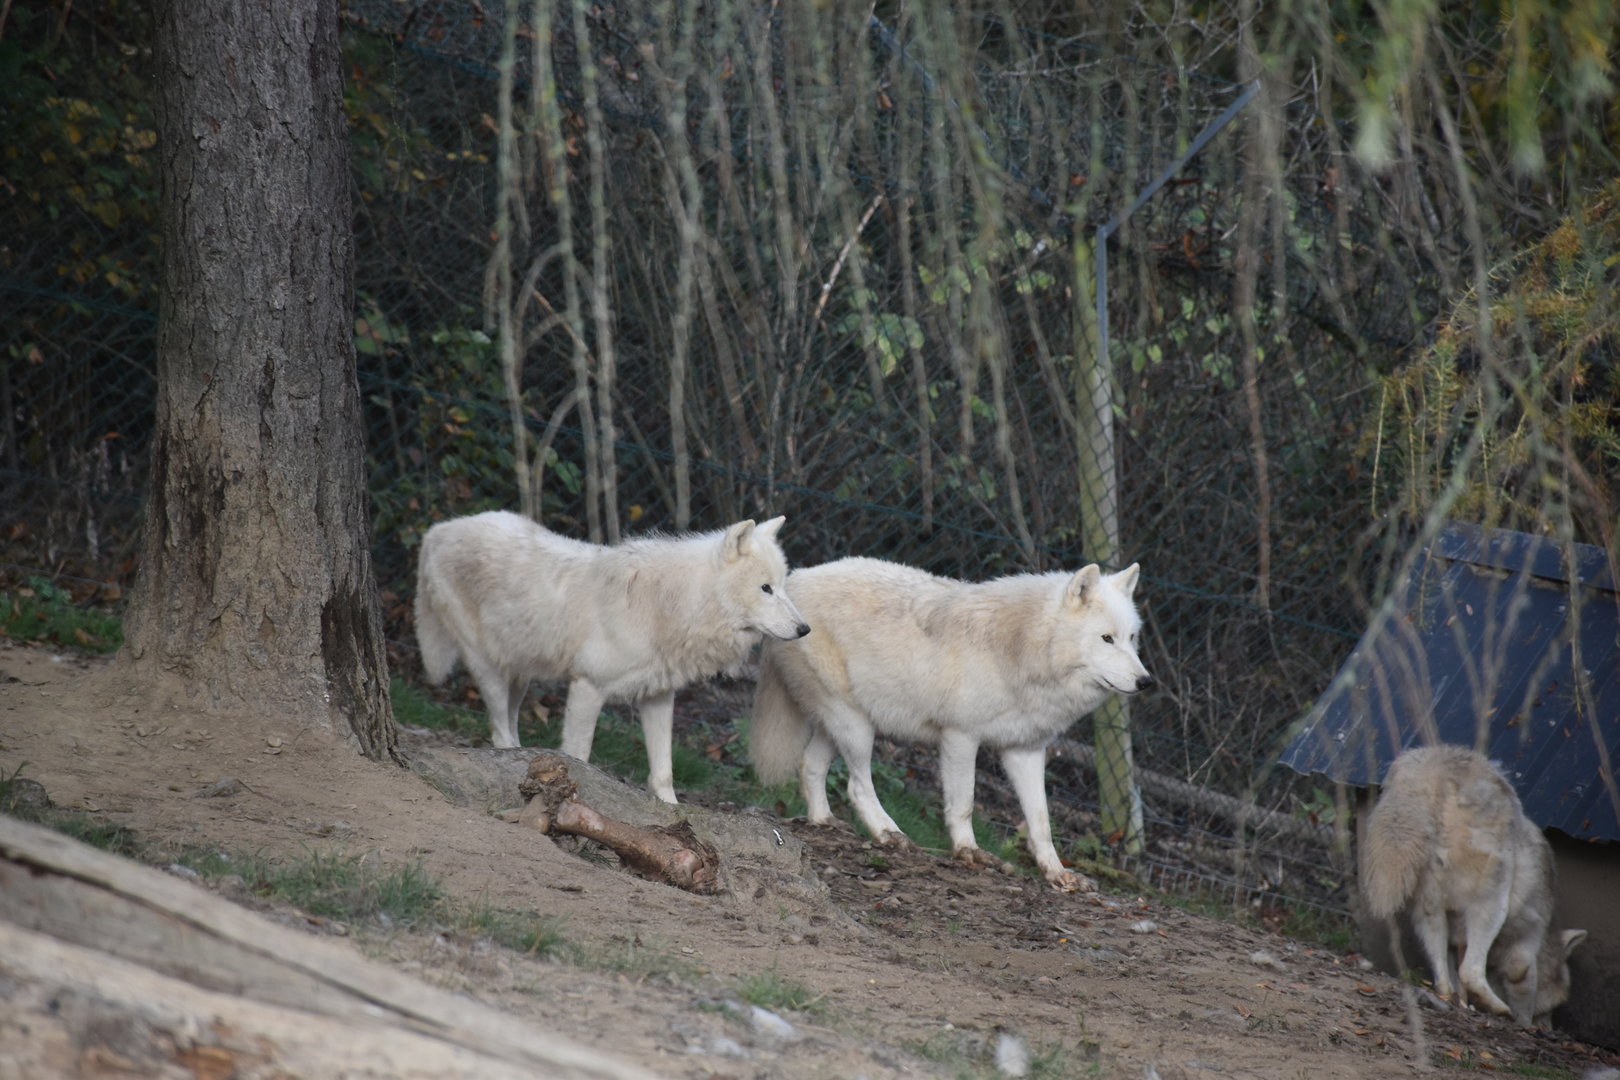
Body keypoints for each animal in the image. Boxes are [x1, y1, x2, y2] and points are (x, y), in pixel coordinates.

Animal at [415, 511, 810, 803]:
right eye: (765, 588)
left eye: (783, 585)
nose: (805, 628)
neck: (672, 604)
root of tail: (438, 530)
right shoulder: (587, 687)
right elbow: (579, 756)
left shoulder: (658, 696)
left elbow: (663, 772)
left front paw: (672, 812)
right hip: (489, 668)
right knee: (499, 730)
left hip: (520, 673)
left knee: (509, 728)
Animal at [749, 556, 1153, 892]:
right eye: (1106, 638)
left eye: (1132, 638)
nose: (1145, 681)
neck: (1024, 651)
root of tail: (794, 579)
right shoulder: (960, 737)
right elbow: (964, 803)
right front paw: (968, 852)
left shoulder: (1026, 751)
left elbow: (1041, 823)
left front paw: (1057, 874)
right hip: (855, 728)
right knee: (857, 785)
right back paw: (889, 833)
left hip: (843, 725)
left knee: (811, 765)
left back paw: (824, 821)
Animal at [1362, 744, 1587, 1027]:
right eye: (1554, 1006)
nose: (1547, 1029)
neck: (1547, 933)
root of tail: (1434, 771)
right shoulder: (1524, 949)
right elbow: (1520, 991)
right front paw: (1522, 1024)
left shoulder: (1454, 943)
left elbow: (1454, 978)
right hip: (1491, 904)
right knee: (1470, 972)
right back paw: (1499, 1009)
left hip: (1429, 913)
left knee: (1444, 981)